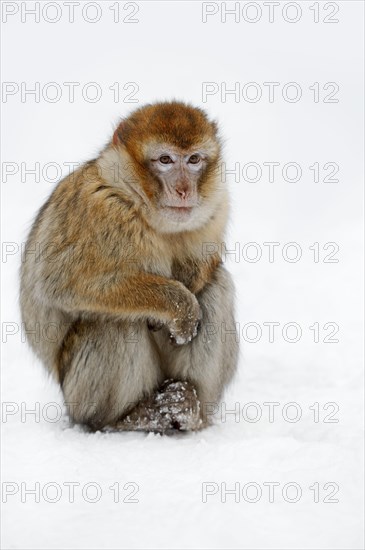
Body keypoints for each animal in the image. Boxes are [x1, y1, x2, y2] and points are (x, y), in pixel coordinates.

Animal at [19, 101, 237, 434]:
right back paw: (125, 417)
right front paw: (178, 305)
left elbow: (208, 264)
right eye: (165, 160)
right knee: (112, 321)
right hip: (78, 394)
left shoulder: (217, 205)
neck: (139, 205)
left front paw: (186, 292)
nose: (184, 189)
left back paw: (188, 408)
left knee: (216, 287)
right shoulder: (98, 208)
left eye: (194, 159)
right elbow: (62, 284)